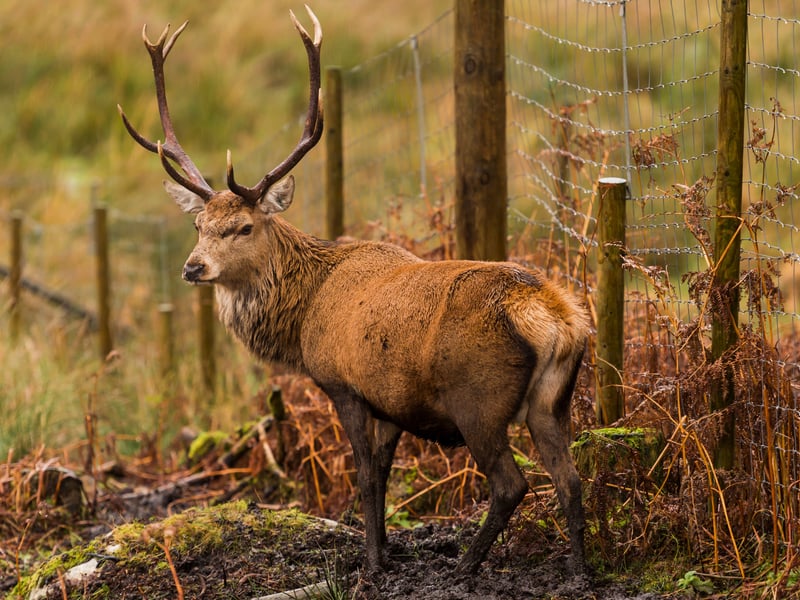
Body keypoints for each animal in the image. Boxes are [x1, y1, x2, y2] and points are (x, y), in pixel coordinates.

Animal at [118, 6, 590, 577]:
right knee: (570, 478)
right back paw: (581, 569)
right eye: (198, 225)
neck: (302, 318)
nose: (192, 267)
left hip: (479, 398)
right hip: (553, 401)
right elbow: (383, 475)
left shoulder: (342, 383)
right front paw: (385, 549)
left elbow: (364, 476)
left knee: (511, 484)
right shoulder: (389, 401)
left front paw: (371, 564)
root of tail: (554, 314)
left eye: (244, 227)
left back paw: (467, 566)